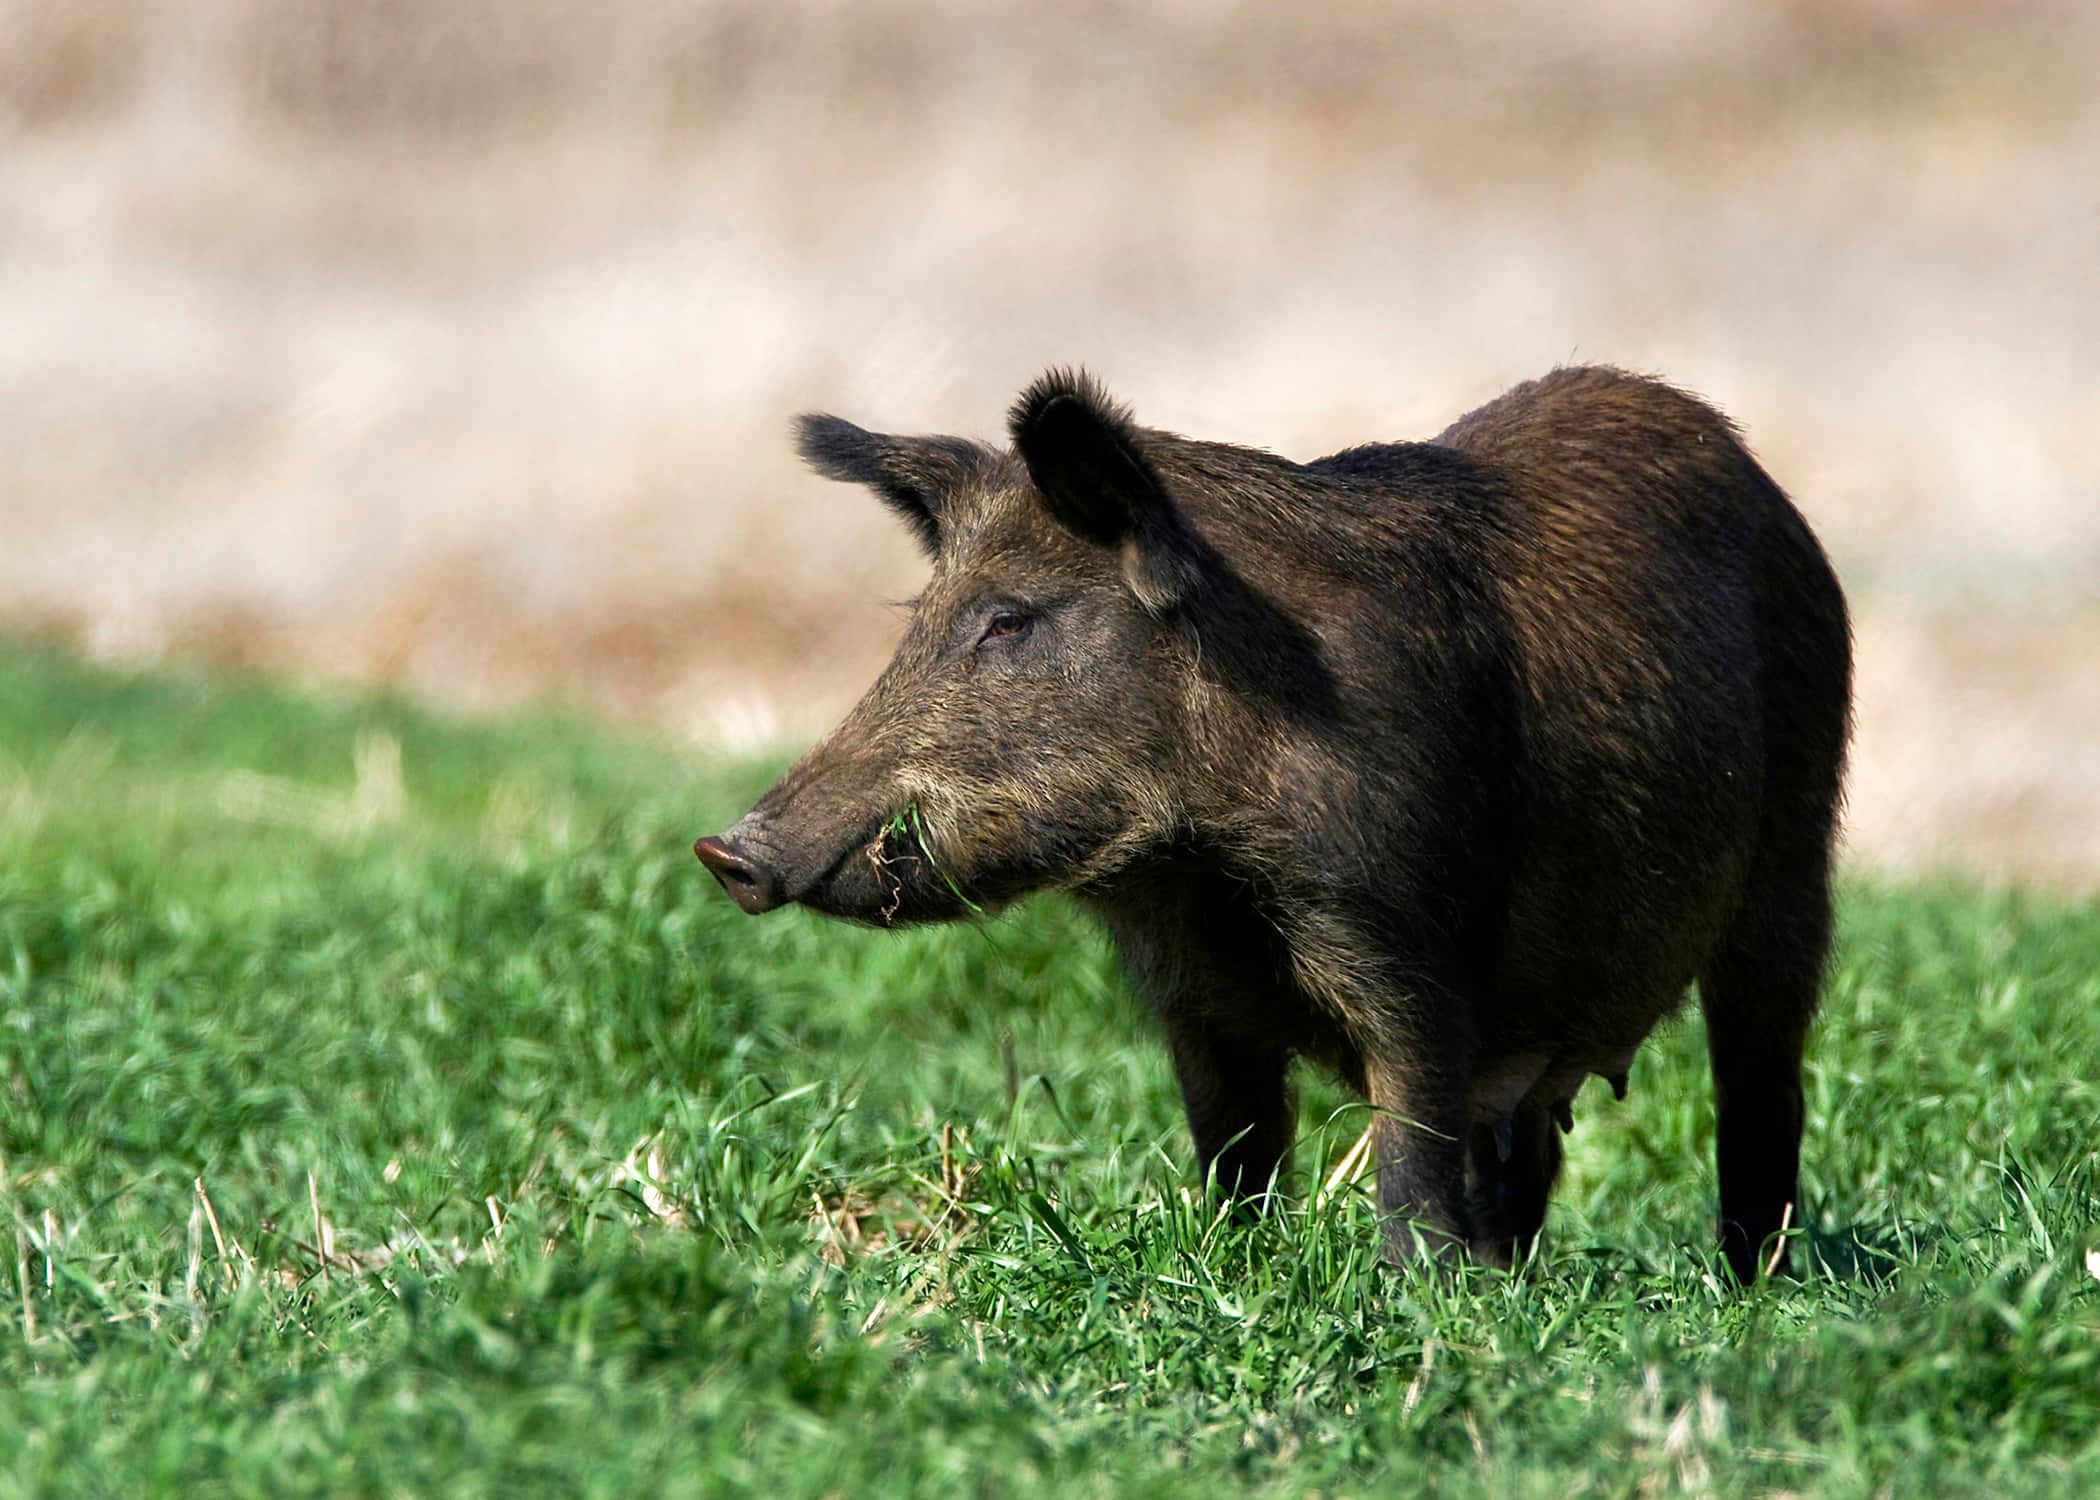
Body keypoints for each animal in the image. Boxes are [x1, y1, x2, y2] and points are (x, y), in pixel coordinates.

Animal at [694, 365, 1850, 1282]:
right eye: (919, 617)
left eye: (1008, 621)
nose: (726, 851)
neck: (1201, 872)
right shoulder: (1187, 989)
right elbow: (1233, 1143)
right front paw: (1235, 1262)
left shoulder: (1398, 926)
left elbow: (1410, 1122)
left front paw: (1417, 1294)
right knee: (1528, 1142)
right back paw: (1520, 1272)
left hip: (1798, 852)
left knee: (1762, 1075)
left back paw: (1751, 1281)